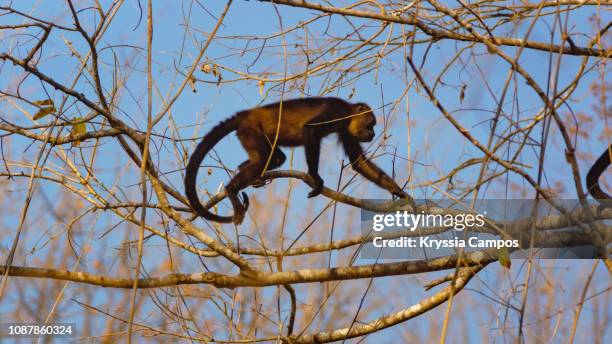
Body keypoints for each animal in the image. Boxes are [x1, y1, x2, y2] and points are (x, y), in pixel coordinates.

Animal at [185, 97, 416, 226]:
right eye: (371, 124)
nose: (373, 134)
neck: (348, 114)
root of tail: (246, 115)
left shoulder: (346, 129)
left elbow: (358, 162)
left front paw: (399, 192)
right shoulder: (336, 112)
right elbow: (311, 129)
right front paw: (316, 178)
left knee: (273, 158)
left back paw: (248, 173)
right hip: (250, 131)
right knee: (269, 158)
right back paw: (232, 189)